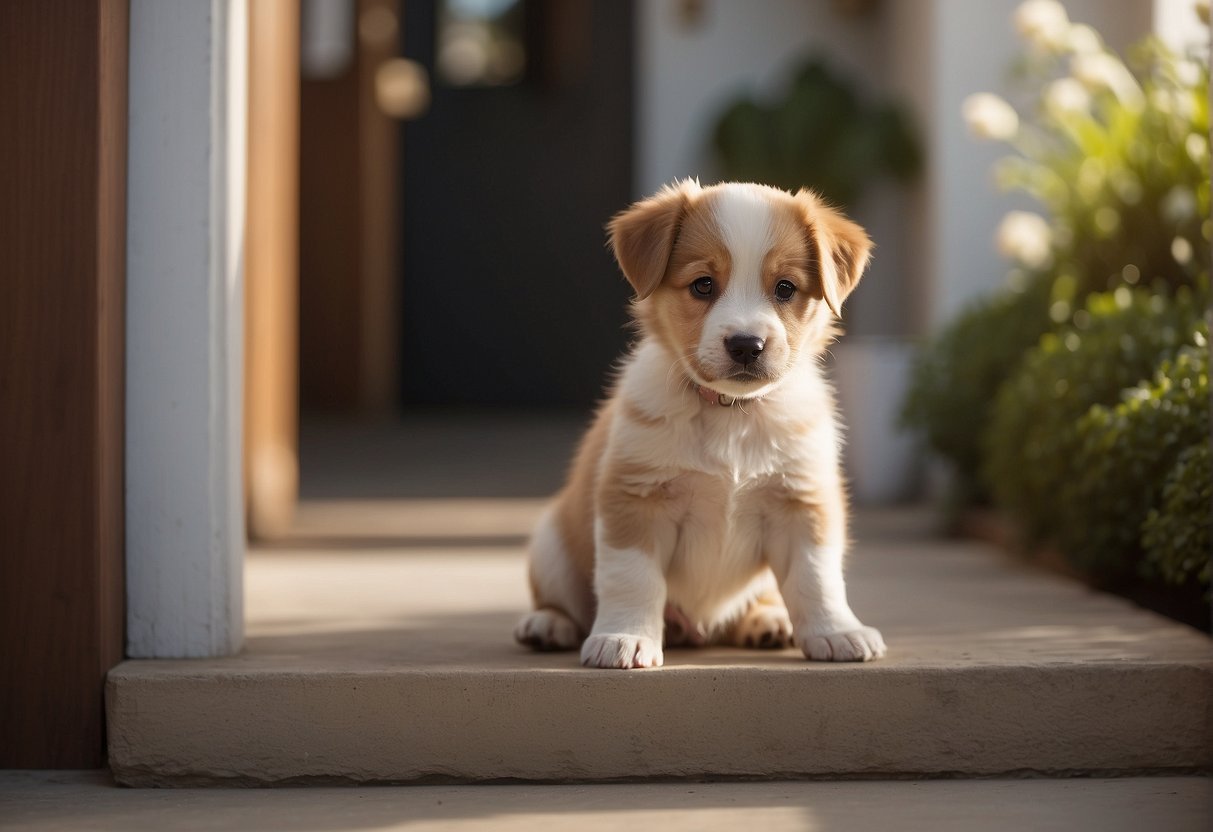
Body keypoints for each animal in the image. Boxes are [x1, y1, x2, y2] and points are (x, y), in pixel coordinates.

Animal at [509, 179, 883, 669]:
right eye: (703, 285)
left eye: (785, 288)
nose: (746, 345)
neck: (731, 413)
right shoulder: (635, 499)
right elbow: (632, 579)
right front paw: (625, 637)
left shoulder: (803, 503)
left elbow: (816, 577)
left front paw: (836, 631)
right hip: (552, 545)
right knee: (564, 601)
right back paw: (548, 624)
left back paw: (768, 621)